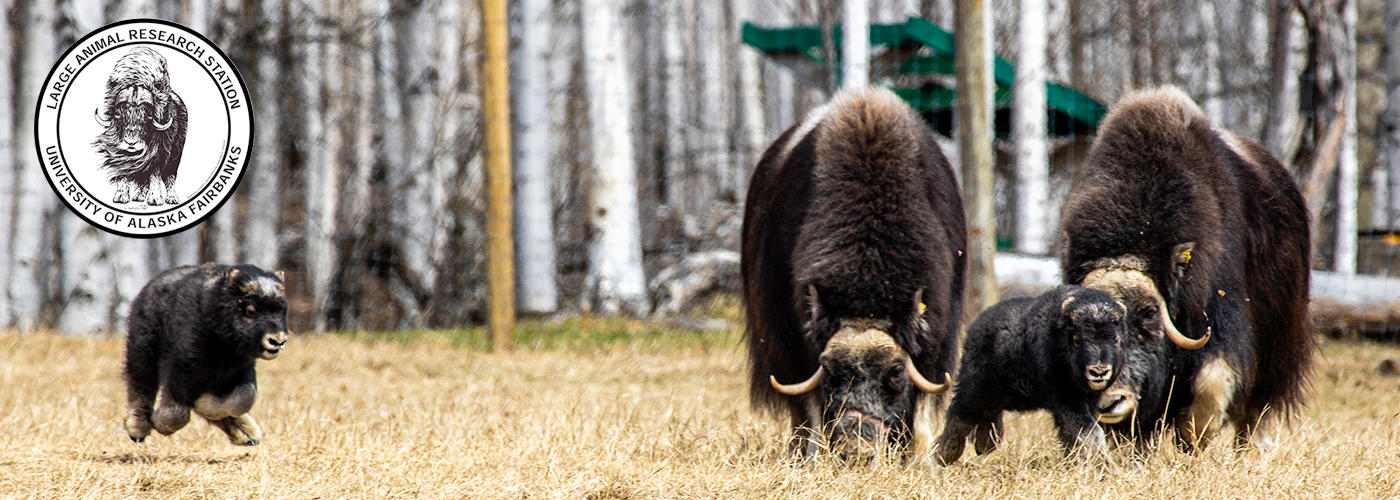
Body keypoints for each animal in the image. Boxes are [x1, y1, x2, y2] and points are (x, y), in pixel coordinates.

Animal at [94, 45, 189, 204]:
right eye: (118, 112)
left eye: (150, 114)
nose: (131, 143)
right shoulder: (121, 154)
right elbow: (124, 172)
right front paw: (120, 197)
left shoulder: (159, 155)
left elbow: (155, 174)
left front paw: (155, 199)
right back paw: (138, 197)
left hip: (176, 155)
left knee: (170, 175)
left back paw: (171, 198)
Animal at [123, 263, 289, 445]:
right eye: (250, 311)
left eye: (283, 310)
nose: (277, 340)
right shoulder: (180, 370)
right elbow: (176, 413)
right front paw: (160, 422)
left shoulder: (242, 370)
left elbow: (245, 397)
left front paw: (203, 404)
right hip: (143, 352)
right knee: (141, 383)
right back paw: (137, 429)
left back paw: (247, 434)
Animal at [744, 87, 963, 462]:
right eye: (832, 372)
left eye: (895, 372)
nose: (856, 450)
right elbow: (810, 398)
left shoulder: (937, 327)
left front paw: (920, 460)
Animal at [935, 284, 1131, 462]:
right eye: (1076, 340)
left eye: (1115, 339)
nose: (1099, 372)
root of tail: (975, 326)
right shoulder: (1066, 398)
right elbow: (1088, 430)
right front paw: (1103, 466)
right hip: (976, 387)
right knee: (962, 411)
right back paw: (946, 453)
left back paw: (983, 443)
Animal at [1058, 86, 1310, 450]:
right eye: (1080, 326)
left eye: (1148, 315)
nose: (1109, 400)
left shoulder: (1223, 316)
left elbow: (1213, 381)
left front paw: (1192, 435)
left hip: (1279, 343)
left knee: (1256, 409)